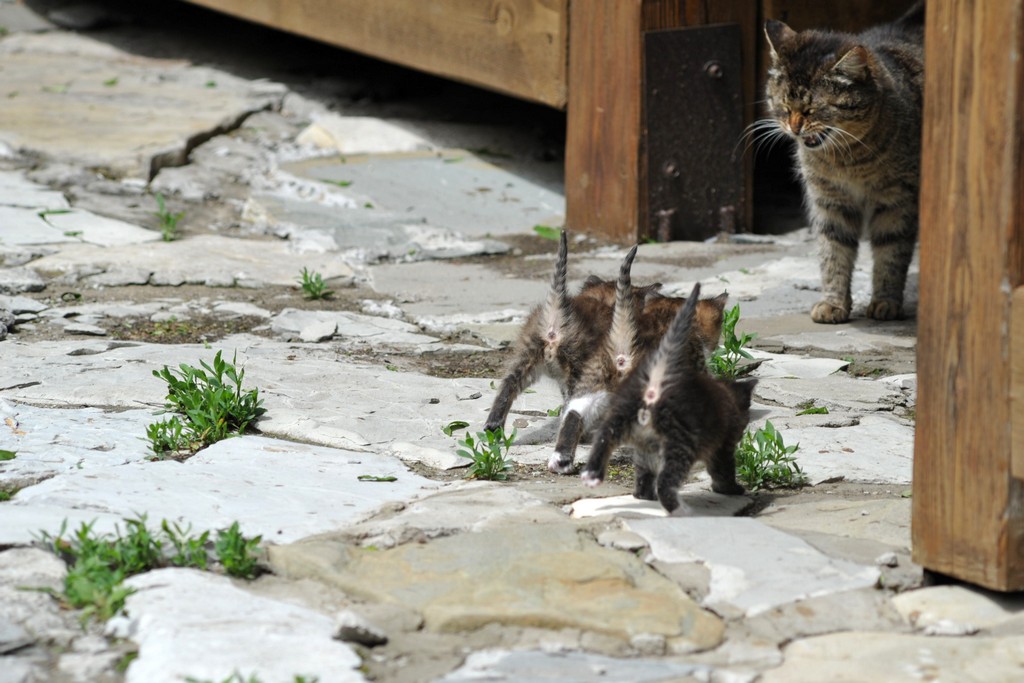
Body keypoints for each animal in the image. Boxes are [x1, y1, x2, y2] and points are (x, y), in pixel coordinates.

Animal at [761, 2, 929, 325]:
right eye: (784, 106)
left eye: (812, 110)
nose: (794, 128)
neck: (848, 161)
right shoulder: (830, 202)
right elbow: (833, 253)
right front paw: (833, 303)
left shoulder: (897, 201)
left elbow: (891, 252)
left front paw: (886, 302)